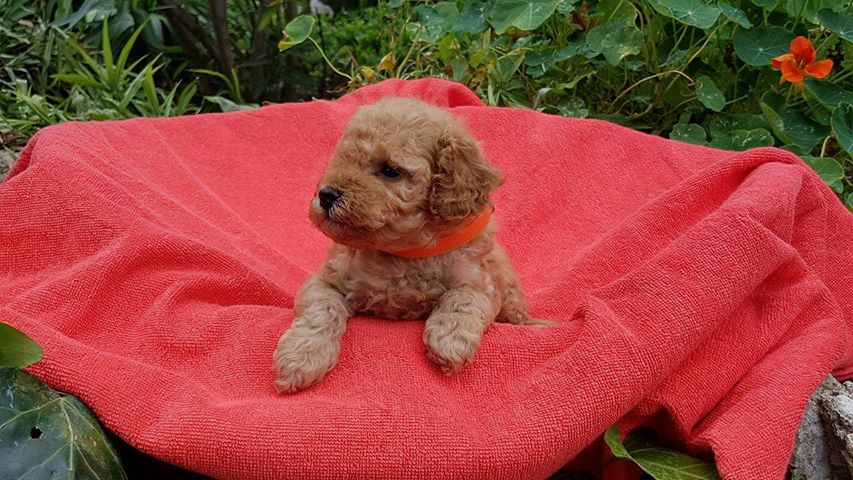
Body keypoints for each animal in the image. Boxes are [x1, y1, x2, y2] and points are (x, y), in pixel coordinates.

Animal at [274, 97, 540, 394]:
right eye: (345, 159)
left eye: (390, 170)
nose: (327, 195)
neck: (403, 251)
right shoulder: (325, 280)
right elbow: (321, 310)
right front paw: (301, 357)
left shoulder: (480, 283)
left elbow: (461, 300)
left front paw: (450, 340)